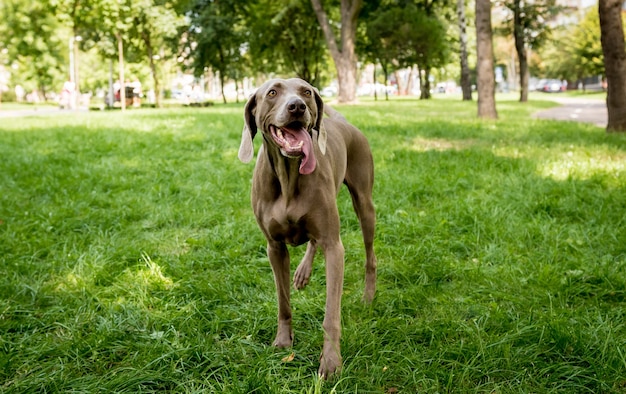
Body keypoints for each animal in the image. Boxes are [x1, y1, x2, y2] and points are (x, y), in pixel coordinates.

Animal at [236, 77, 376, 376]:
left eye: (307, 92)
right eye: (272, 92)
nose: (297, 106)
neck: (289, 175)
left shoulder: (334, 247)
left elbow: (331, 314)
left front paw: (331, 362)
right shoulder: (274, 248)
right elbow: (283, 302)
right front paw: (282, 341)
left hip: (364, 205)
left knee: (370, 254)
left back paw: (369, 296)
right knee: (313, 242)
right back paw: (302, 273)